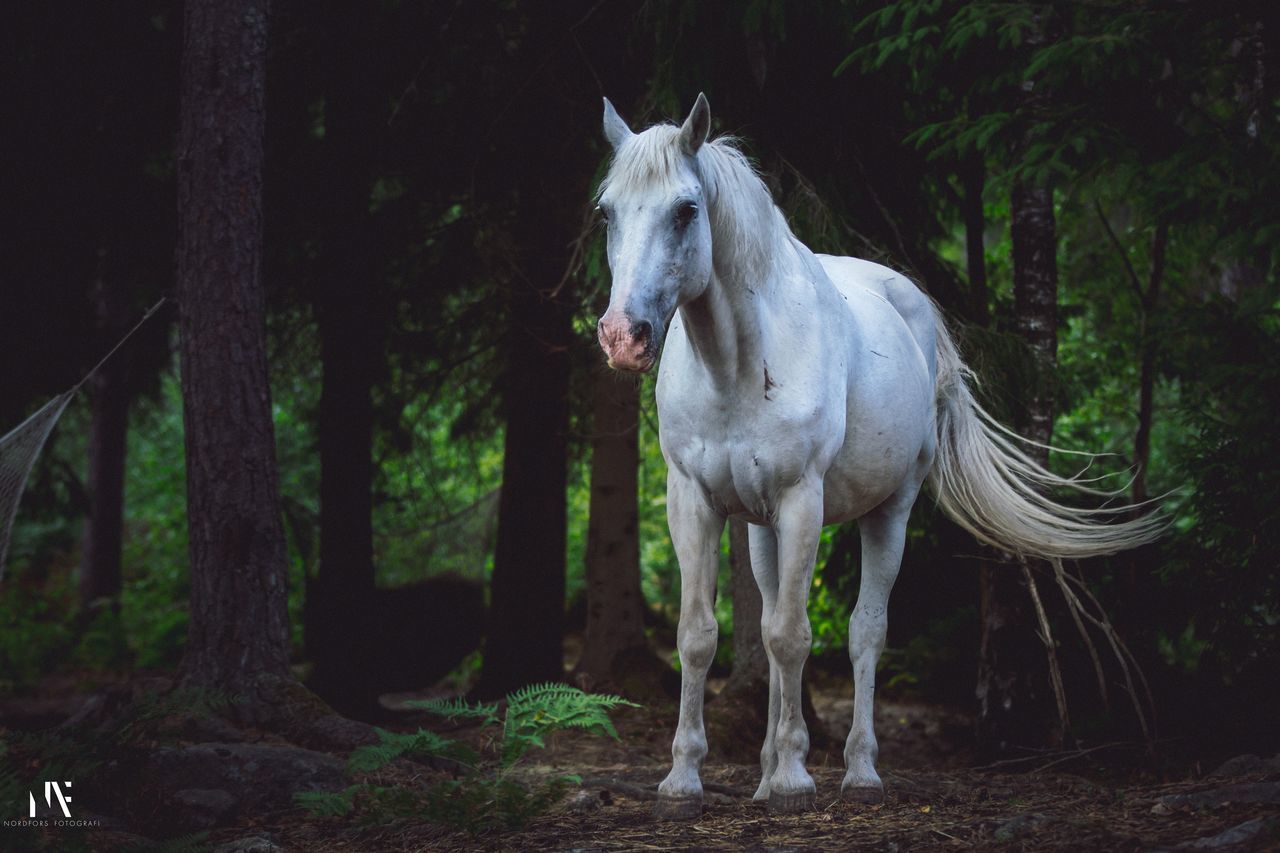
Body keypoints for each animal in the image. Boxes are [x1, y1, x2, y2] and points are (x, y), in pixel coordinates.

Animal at [593, 94, 1167, 819]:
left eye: (686, 209)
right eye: (606, 211)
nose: (623, 336)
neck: (738, 365)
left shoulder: (801, 500)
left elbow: (793, 634)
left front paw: (794, 780)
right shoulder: (693, 499)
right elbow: (699, 635)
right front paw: (684, 781)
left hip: (889, 510)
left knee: (865, 631)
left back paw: (857, 771)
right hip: (760, 529)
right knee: (776, 625)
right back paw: (765, 772)